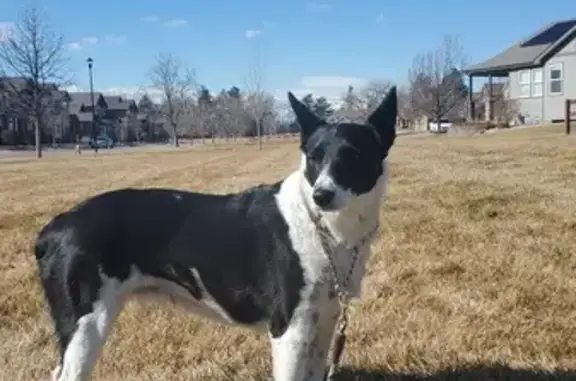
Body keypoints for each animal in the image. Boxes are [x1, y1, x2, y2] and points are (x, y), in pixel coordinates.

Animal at [35, 87, 396, 380]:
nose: (322, 195)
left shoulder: (322, 325)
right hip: (87, 324)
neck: (318, 223)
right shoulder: (289, 331)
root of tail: (55, 227)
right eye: (313, 157)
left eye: (353, 155)